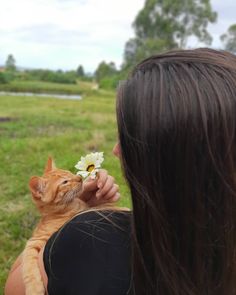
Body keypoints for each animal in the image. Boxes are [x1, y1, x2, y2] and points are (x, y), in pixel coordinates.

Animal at [22, 158, 88, 295]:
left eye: (70, 173)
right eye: (65, 182)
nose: (79, 177)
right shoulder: (33, 242)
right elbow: (28, 266)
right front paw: (34, 289)